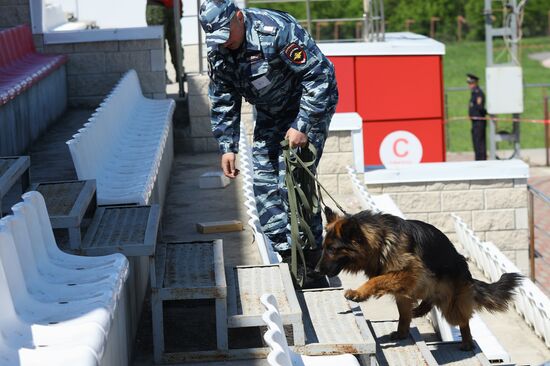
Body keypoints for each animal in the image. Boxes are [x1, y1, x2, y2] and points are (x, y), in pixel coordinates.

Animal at [316, 207, 524, 350]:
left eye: (332, 249)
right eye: (324, 247)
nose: (317, 270)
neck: (381, 239)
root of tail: (468, 275)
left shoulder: (409, 273)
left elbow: (376, 281)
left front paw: (358, 293)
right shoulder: (404, 284)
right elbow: (402, 314)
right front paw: (401, 332)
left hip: (450, 304)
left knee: (463, 320)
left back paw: (466, 341)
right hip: (421, 289)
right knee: (416, 307)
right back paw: (415, 316)